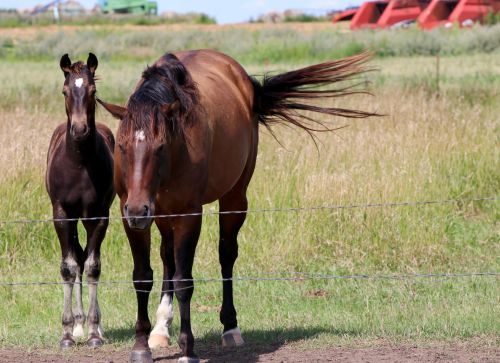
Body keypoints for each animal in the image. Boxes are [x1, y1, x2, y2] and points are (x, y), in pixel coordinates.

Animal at [98, 49, 376, 363]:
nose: (138, 209)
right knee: (168, 258)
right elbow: (143, 277)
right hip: (161, 214)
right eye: (121, 146)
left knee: (226, 254)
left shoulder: (189, 214)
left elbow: (185, 281)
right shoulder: (131, 215)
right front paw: (141, 344)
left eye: (160, 147)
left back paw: (230, 328)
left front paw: (188, 349)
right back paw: (161, 329)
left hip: (233, 199)